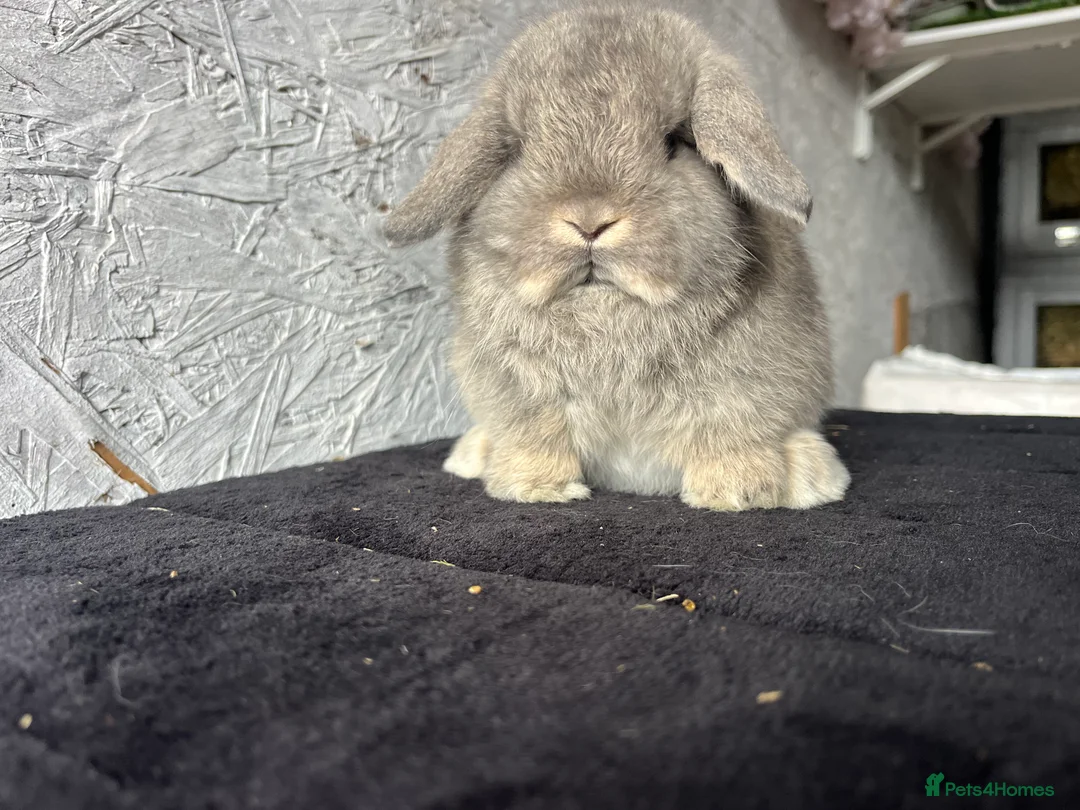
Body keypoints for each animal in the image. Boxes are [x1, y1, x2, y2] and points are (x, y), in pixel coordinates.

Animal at [383, 5, 851, 511]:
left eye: (674, 142)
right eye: (519, 149)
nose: (589, 221)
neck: (605, 317)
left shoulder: (749, 388)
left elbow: (731, 431)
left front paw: (736, 491)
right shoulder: (518, 395)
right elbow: (536, 438)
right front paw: (535, 488)